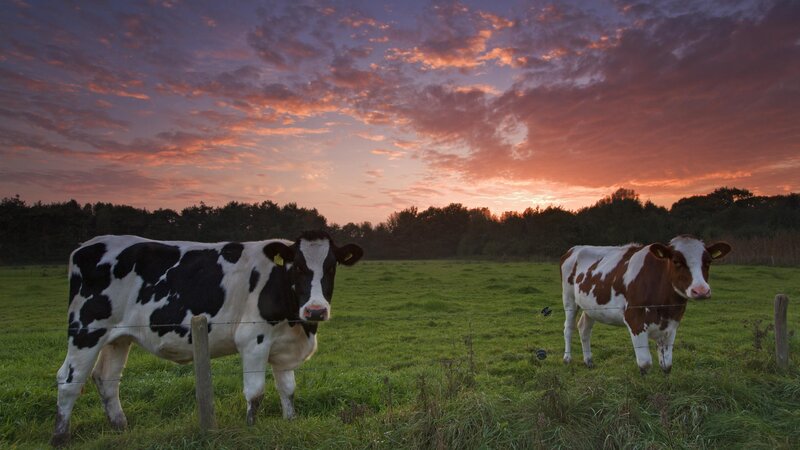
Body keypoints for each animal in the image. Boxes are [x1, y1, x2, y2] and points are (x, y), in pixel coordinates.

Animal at [52, 230, 363, 446]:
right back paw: (60, 437)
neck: (297, 322)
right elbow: (256, 393)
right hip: (86, 330)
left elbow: (287, 390)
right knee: (69, 379)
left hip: (118, 337)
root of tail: (87, 245)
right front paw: (251, 429)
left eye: (331, 267)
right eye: (297, 266)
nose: (316, 310)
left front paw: (289, 422)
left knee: (107, 379)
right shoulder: (254, 339)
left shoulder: (284, 346)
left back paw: (120, 428)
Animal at [559, 235, 731, 374]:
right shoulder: (635, 320)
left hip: (590, 306)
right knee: (569, 327)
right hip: (569, 299)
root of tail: (575, 248)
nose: (701, 290)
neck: (665, 306)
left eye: (708, 262)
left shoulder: (671, 325)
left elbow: (667, 365)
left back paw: (588, 361)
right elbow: (645, 363)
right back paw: (567, 359)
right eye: (676, 261)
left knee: (584, 329)